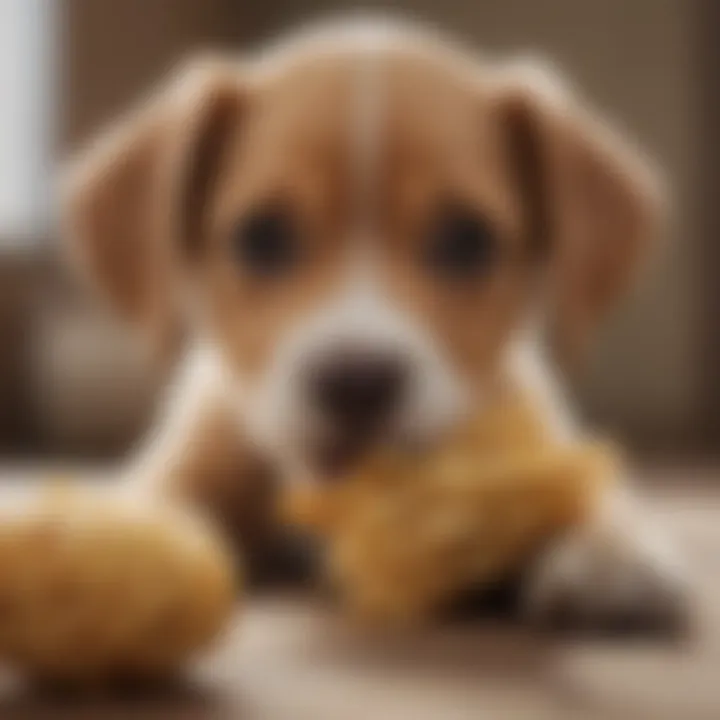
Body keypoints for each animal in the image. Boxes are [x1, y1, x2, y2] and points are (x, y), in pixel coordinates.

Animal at [64, 19, 688, 628]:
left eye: (468, 239)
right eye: (261, 236)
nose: (356, 381)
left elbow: (595, 496)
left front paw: (612, 552)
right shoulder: (189, 454)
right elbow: (159, 497)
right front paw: (126, 546)